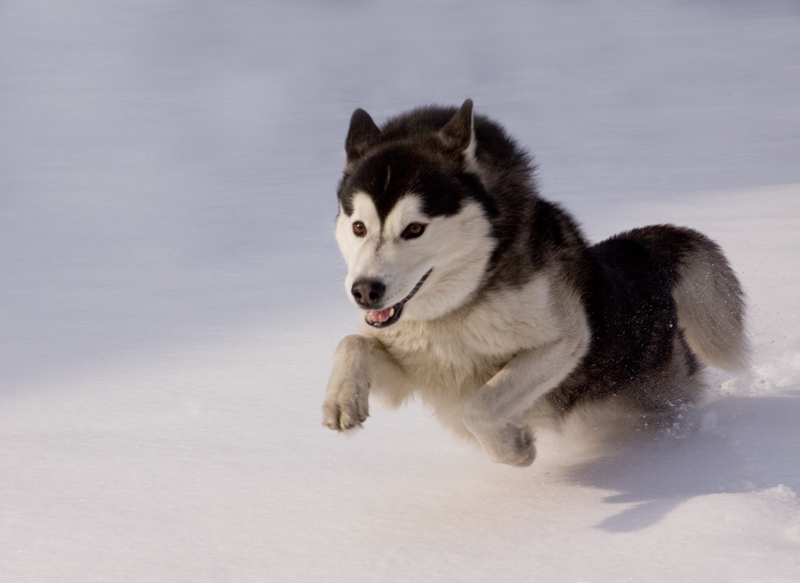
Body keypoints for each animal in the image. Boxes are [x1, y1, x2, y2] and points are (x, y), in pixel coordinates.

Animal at [322, 99, 748, 466]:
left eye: (414, 229)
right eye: (359, 227)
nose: (365, 291)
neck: (453, 312)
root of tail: (636, 256)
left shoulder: (564, 341)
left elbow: (480, 406)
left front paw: (514, 448)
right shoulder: (408, 365)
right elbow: (352, 342)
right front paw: (342, 400)